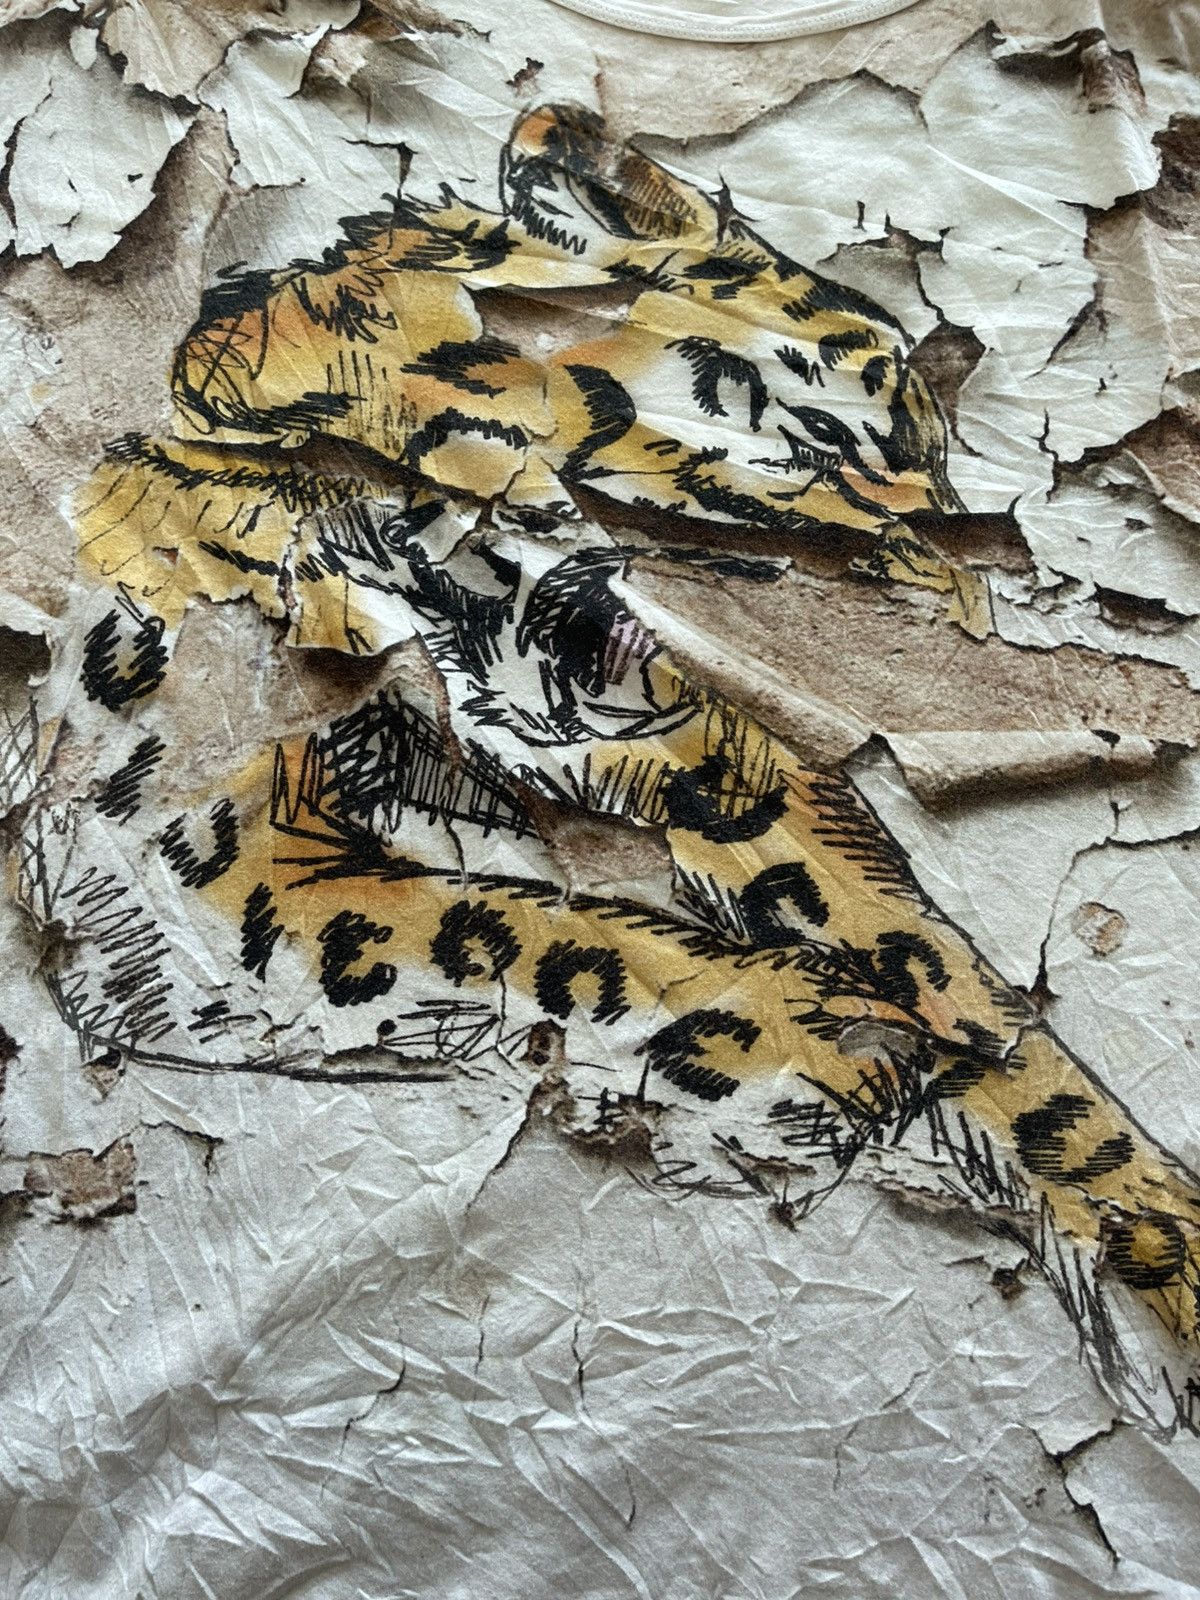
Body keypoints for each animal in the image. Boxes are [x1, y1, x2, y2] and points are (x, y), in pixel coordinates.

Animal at [24, 102, 1200, 1431]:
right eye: (853, 425)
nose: (950, 575)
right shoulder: (198, 859)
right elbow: (551, 930)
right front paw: (806, 1037)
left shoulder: (728, 777)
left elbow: (1014, 1048)